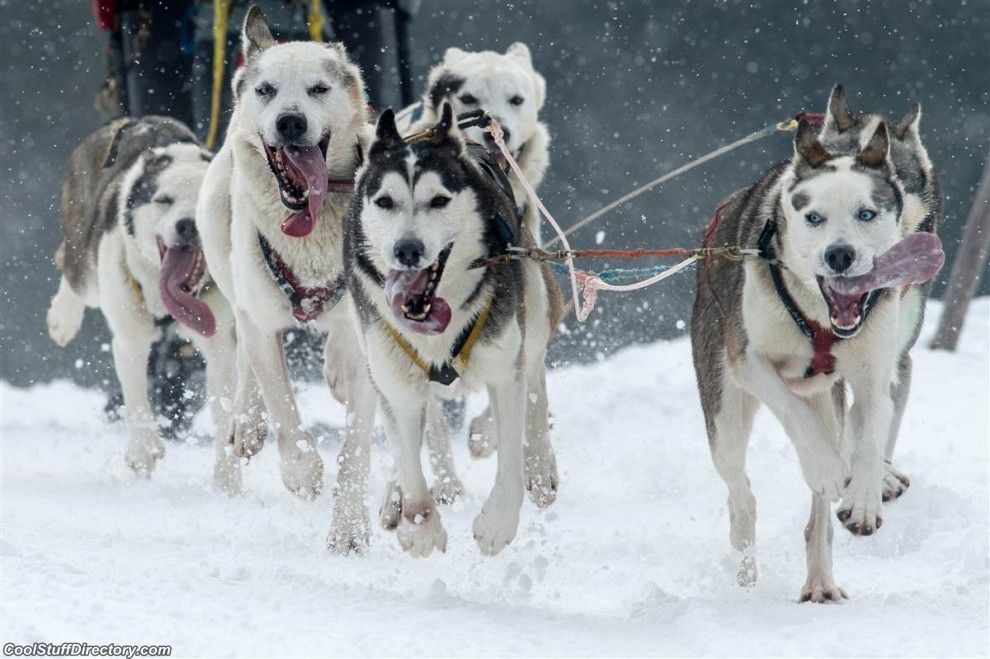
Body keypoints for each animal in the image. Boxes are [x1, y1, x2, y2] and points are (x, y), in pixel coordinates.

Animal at [46, 116, 242, 488]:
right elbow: (137, 399)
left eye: (201, 200)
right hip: (85, 260)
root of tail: (137, 120)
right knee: (68, 263)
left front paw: (228, 480)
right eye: (163, 200)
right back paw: (62, 318)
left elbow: (225, 410)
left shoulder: (221, 344)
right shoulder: (130, 338)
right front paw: (143, 451)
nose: (188, 225)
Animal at [198, 5, 380, 544]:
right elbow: (281, 405)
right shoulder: (261, 321)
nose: (291, 120)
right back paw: (246, 425)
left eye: (319, 88)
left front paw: (349, 529)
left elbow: (355, 448)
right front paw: (302, 471)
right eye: (267, 89)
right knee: (248, 362)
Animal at [346, 107, 564, 556]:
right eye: (385, 201)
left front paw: (498, 523)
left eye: (439, 200)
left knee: (535, 385)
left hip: (532, 299)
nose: (407, 250)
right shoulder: (395, 383)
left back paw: (539, 463)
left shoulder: (503, 370)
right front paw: (420, 526)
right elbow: (410, 464)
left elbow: (510, 457)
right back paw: (394, 497)